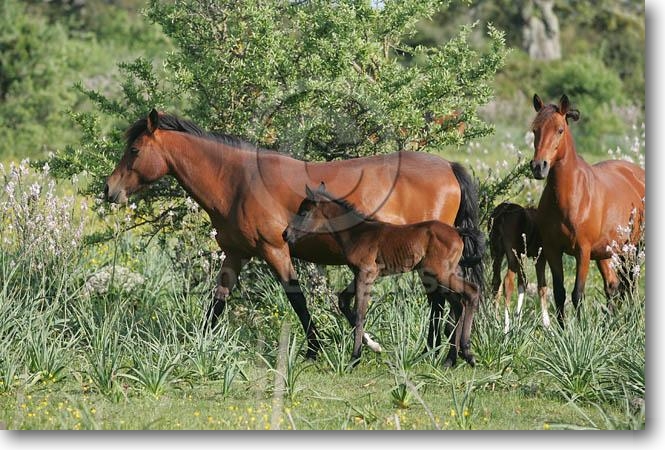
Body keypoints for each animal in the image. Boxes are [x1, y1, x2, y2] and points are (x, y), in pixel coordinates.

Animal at [283, 182, 482, 367]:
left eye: (303, 212)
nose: (285, 234)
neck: (356, 234)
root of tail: (457, 232)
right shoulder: (358, 274)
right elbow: (344, 301)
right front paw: (372, 346)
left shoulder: (367, 274)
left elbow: (360, 312)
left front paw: (355, 358)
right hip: (440, 275)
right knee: (458, 303)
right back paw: (451, 359)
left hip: (440, 274)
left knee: (471, 293)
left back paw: (466, 353)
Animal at [488, 202, 548, 332]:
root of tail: (501, 212)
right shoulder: (540, 258)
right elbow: (541, 287)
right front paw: (548, 326)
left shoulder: (522, 256)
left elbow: (523, 282)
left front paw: (518, 321)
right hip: (511, 255)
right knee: (507, 282)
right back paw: (506, 328)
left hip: (496, 253)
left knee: (496, 282)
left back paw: (495, 322)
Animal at [530, 94, 645, 326]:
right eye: (535, 129)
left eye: (560, 130)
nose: (539, 167)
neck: (571, 196)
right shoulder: (553, 249)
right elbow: (560, 293)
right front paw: (563, 330)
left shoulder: (582, 251)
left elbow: (578, 294)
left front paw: (581, 329)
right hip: (607, 253)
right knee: (613, 286)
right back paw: (610, 323)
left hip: (634, 248)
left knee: (630, 284)